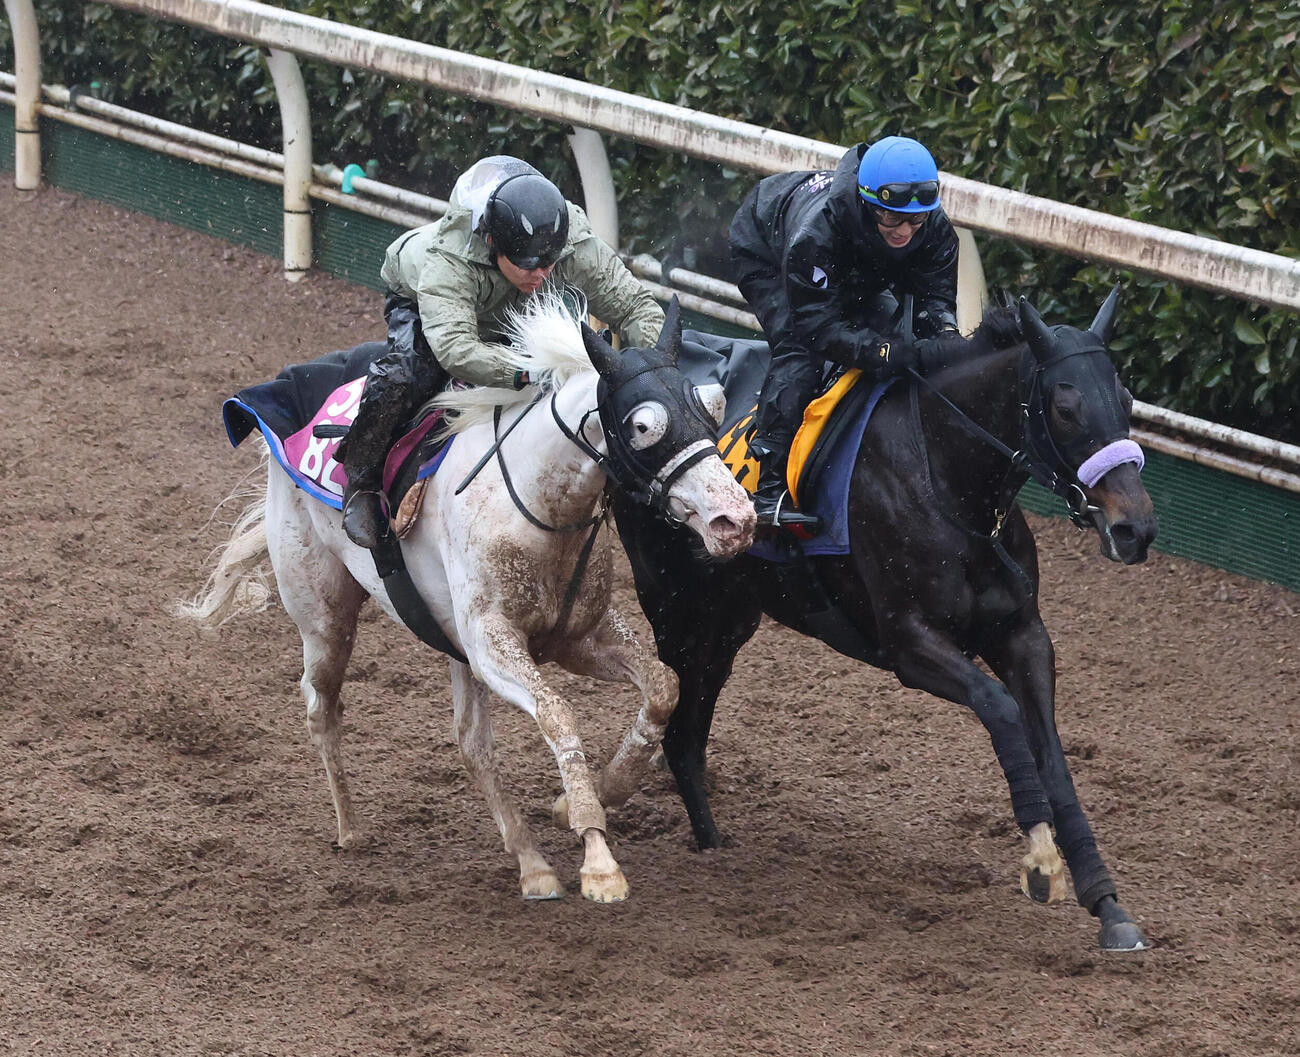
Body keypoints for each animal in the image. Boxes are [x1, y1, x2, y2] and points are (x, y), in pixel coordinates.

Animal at [179, 294, 756, 903]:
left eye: (712, 407)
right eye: (643, 425)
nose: (735, 519)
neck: (532, 500)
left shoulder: (577, 637)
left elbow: (663, 687)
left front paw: (601, 792)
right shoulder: (493, 645)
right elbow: (558, 715)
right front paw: (599, 860)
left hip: (450, 646)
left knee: (471, 746)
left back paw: (531, 863)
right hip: (324, 615)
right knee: (321, 705)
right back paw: (350, 827)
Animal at [614, 290, 1159, 950]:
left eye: (1126, 400)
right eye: (1065, 405)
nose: (1135, 528)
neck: (948, 480)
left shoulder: (1024, 636)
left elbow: (1052, 754)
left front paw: (1106, 903)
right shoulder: (908, 644)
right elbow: (999, 709)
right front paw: (1038, 859)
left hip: (730, 620)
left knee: (691, 732)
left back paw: (713, 843)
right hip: (676, 607)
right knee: (676, 724)